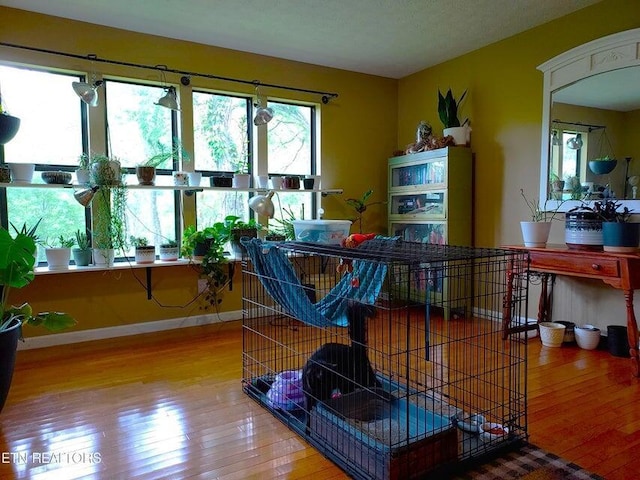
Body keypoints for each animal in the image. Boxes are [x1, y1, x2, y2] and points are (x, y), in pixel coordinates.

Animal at [242, 238, 528, 478]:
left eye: (328, 378)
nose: (326, 391)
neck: (316, 382)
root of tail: (355, 349)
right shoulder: (312, 397)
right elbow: (311, 413)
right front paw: (311, 427)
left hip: (360, 377)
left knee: (374, 385)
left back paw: (383, 394)